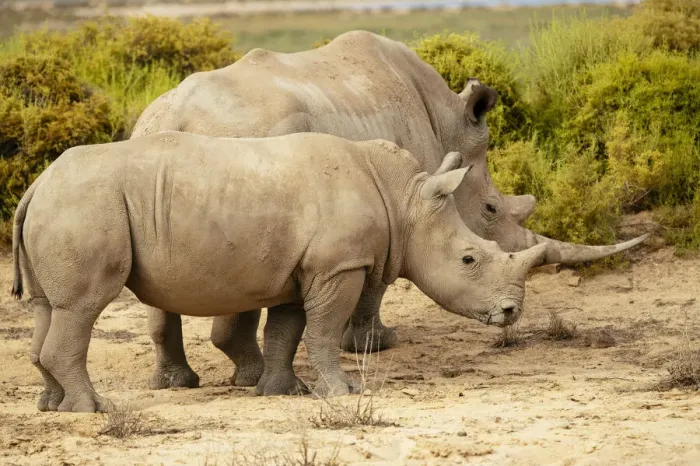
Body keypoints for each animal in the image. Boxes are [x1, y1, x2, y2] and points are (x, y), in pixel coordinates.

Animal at [11, 132, 549, 412]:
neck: (404, 200)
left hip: (63, 205)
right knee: (82, 307)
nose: (511, 311)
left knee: (47, 307)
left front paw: (282, 391)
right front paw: (344, 392)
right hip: (85, 206)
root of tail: (37, 183)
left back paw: (52, 406)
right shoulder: (338, 266)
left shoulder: (303, 270)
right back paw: (94, 409)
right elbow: (325, 332)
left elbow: (286, 332)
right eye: (469, 259)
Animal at [131, 30, 649, 391]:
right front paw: (376, 344)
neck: (447, 124)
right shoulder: (395, 212)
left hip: (158, 152)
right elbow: (376, 285)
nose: (510, 307)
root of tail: (176, 116)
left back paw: (180, 383)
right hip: (246, 147)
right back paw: (251, 377)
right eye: (490, 209)